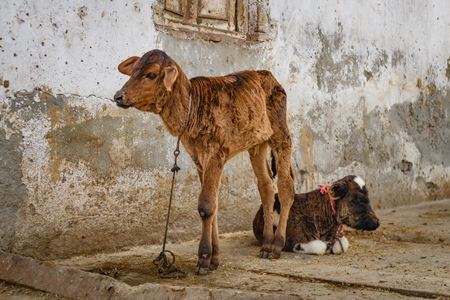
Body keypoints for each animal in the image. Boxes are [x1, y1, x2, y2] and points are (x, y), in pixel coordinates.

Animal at [114, 49, 294, 272]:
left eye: (151, 74)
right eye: (133, 71)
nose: (119, 96)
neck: (192, 108)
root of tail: (266, 74)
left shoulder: (216, 154)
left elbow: (206, 206)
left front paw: (204, 257)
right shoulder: (199, 159)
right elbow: (213, 204)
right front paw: (214, 257)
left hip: (281, 134)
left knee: (286, 187)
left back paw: (277, 244)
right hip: (257, 145)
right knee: (266, 187)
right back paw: (266, 245)